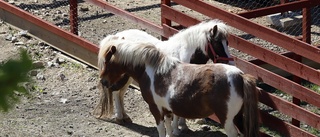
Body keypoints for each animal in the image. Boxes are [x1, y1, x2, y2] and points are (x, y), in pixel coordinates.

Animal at [94, 19, 234, 131]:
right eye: (217, 43)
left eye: (227, 42)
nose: (230, 62)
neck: (184, 54)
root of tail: (116, 37)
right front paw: (177, 129)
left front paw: (183, 126)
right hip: (122, 76)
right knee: (116, 93)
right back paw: (119, 117)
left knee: (120, 93)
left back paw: (125, 117)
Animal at [99, 38, 258, 137]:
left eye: (107, 62)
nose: (103, 81)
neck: (152, 70)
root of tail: (240, 76)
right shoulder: (167, 109)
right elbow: (169, 128)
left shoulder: (155, 108)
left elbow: (161, 129)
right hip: (238, 117)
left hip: (228, 120)